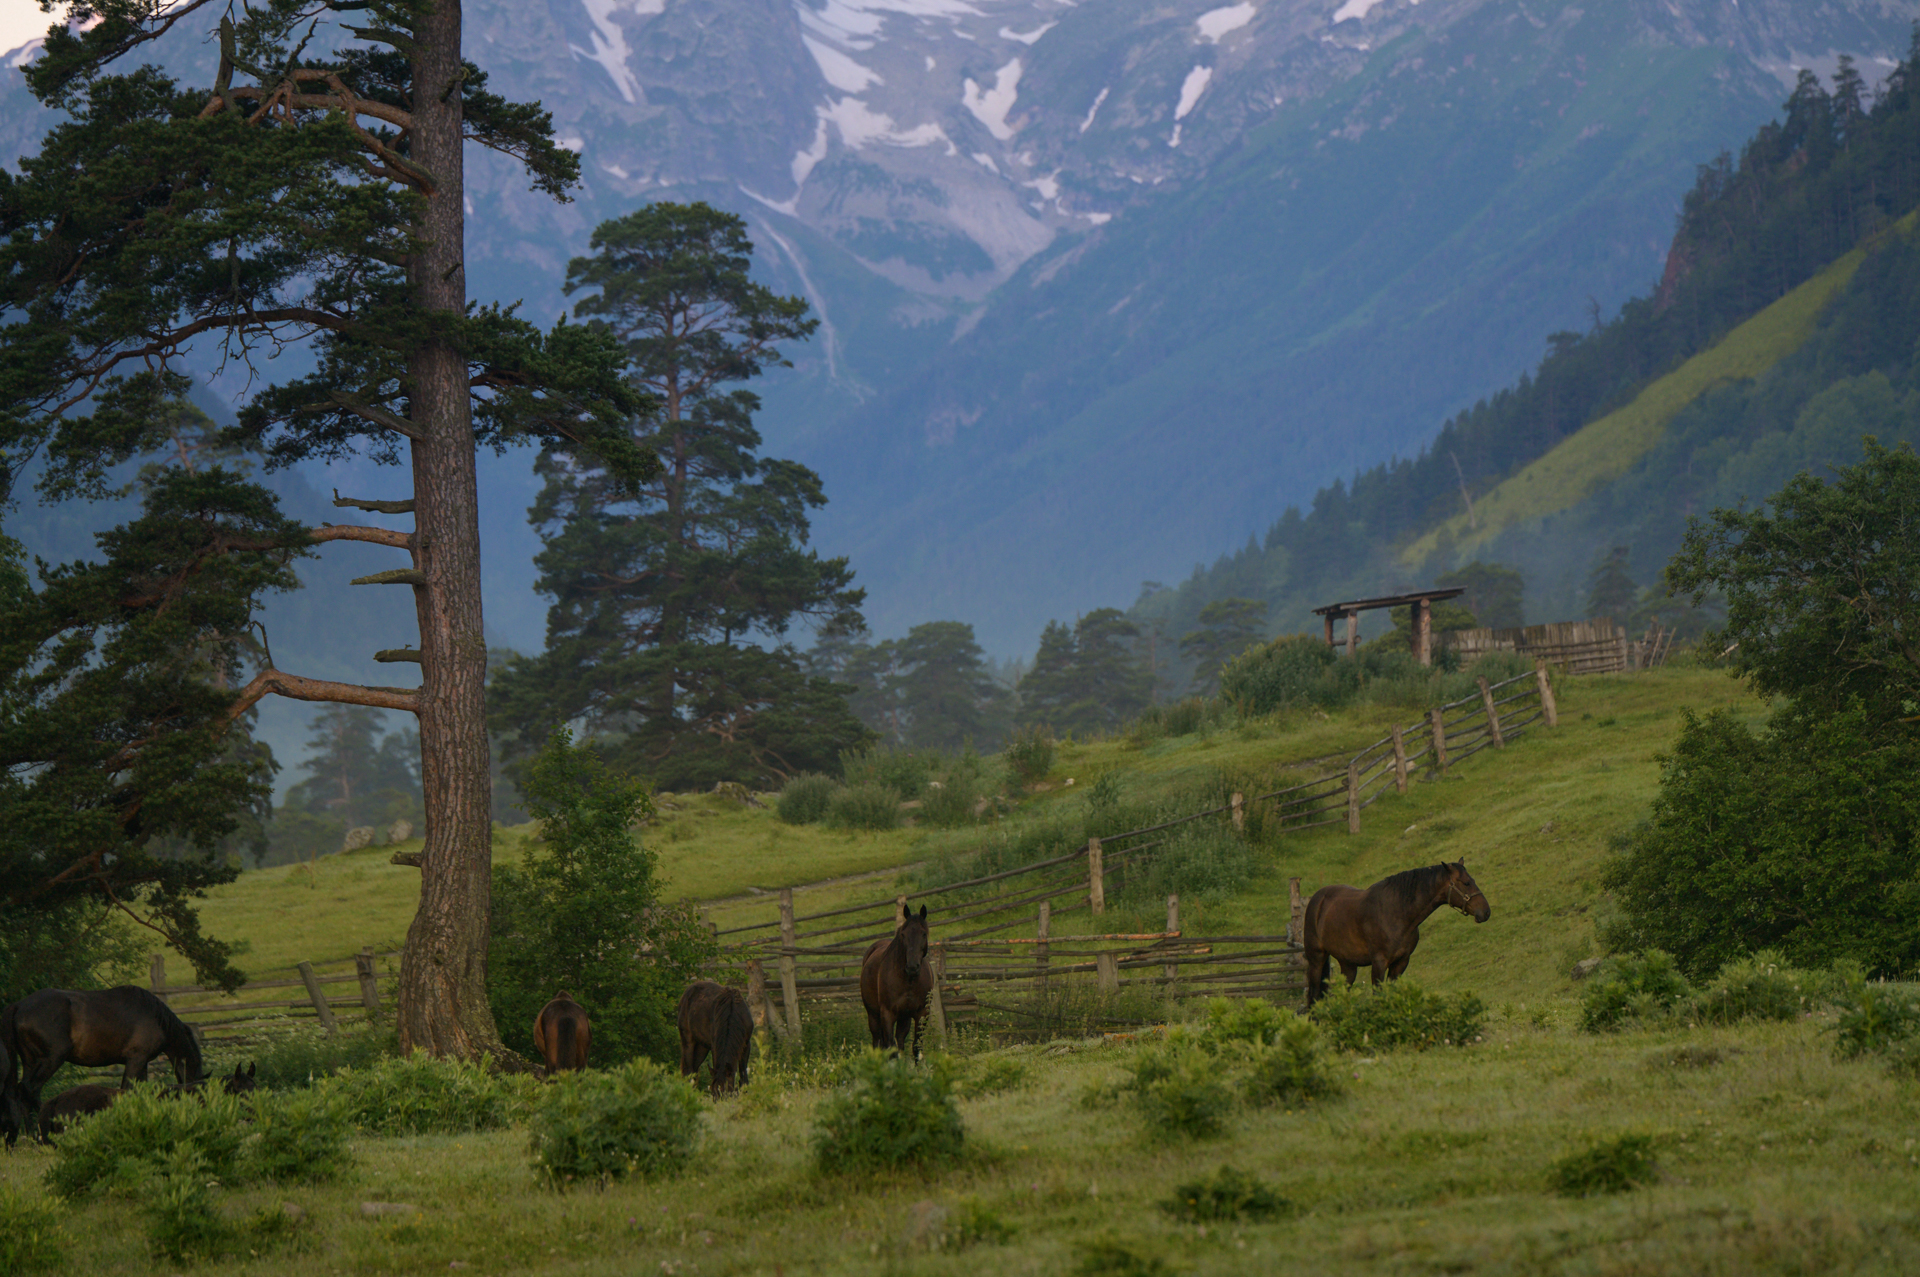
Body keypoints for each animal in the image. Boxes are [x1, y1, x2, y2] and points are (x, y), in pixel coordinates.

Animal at [864, 902, 936, 1060]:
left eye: (923, 934)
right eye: (903, 934)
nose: (912, 967)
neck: (908, 981)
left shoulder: (922, 1013)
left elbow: (916, 1047)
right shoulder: (887, 1014)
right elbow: (891, 1049)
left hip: (904, 1018)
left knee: (900, 1041)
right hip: (873, 1015)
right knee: (878, 1042)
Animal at [1297, 856, 1489, 1006]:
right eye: (1466, 883)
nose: (1486, 912)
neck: (1397, 912)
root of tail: (1317, 899)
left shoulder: (1401, 963)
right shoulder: (1379, 963)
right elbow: (1378, 996)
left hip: (1348, 964)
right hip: (1317, 959)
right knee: (1313, 995)